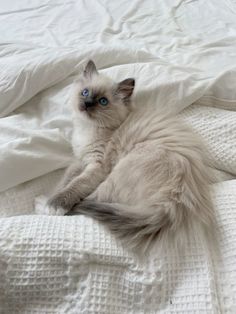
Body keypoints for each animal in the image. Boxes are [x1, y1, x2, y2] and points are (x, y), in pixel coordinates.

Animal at [34, 59, 216, 250]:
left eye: (103, 101)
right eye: (85, 92)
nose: (87, 103)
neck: (88, 129)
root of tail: (174, 200)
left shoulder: (96, 166)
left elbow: (74, 186)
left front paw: (53, 205)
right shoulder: (80, 160)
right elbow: (64, 181)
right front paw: (53, 195)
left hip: (116, 174)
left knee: (87, 202)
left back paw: (41, 205)